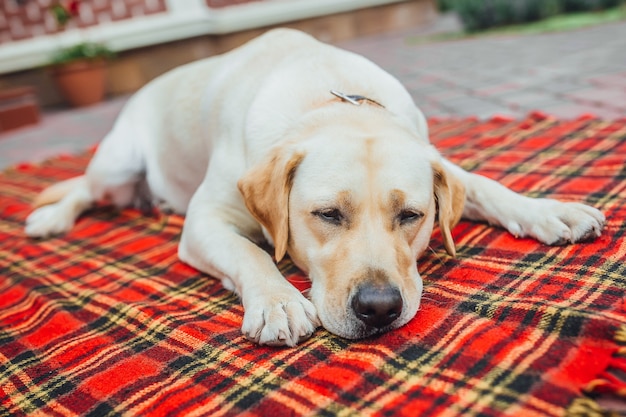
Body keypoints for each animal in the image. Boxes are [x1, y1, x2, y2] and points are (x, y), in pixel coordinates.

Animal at [25, 29, 604, 346]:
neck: (327, 98)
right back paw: (51, 216)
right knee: (83, 187)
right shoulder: (205, 221)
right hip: (116, 164)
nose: (379, 308)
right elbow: (252, 253)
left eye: (411, 216)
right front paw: (278, 301)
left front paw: (549, 210)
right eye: (327, 214)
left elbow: (483, 184)